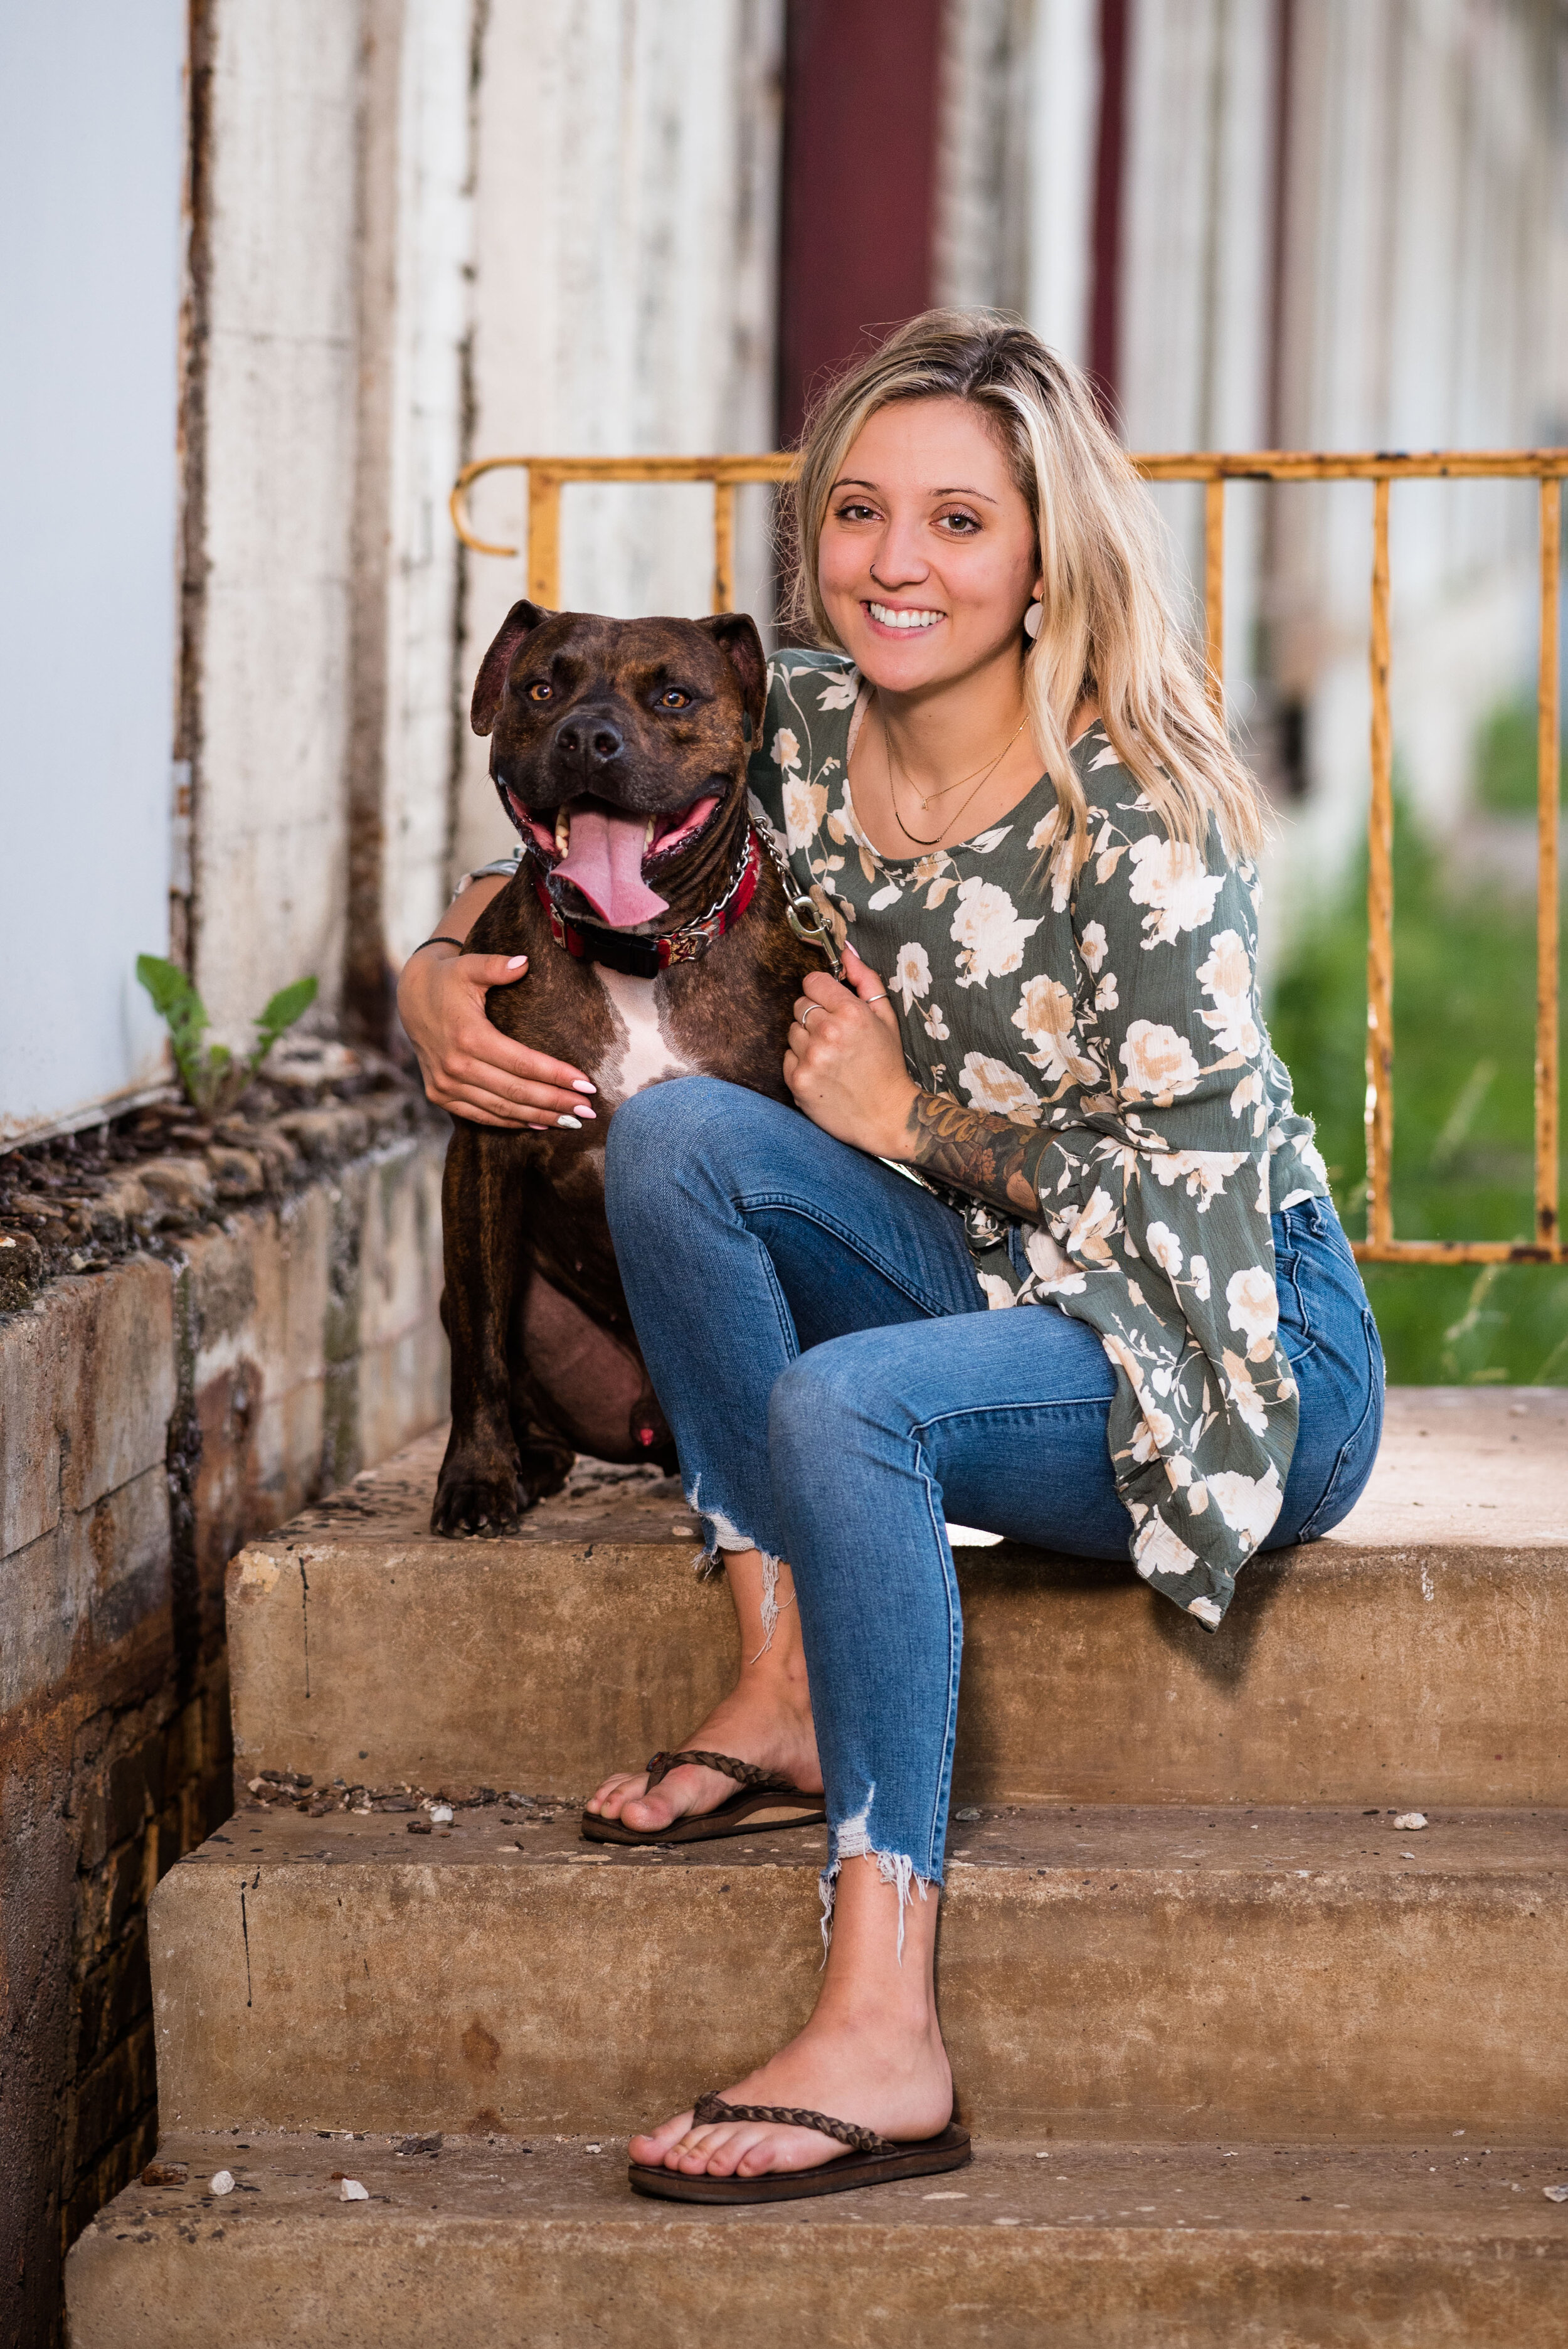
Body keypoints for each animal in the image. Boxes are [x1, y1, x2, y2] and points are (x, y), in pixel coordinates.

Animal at [429, 597, 821, 1531]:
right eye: (541, 688)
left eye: (674, 697)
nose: (587, 738)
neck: (637, 952)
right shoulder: (485, 1149)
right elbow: (480, 1347)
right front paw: (477, 1477)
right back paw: (528, 1463)